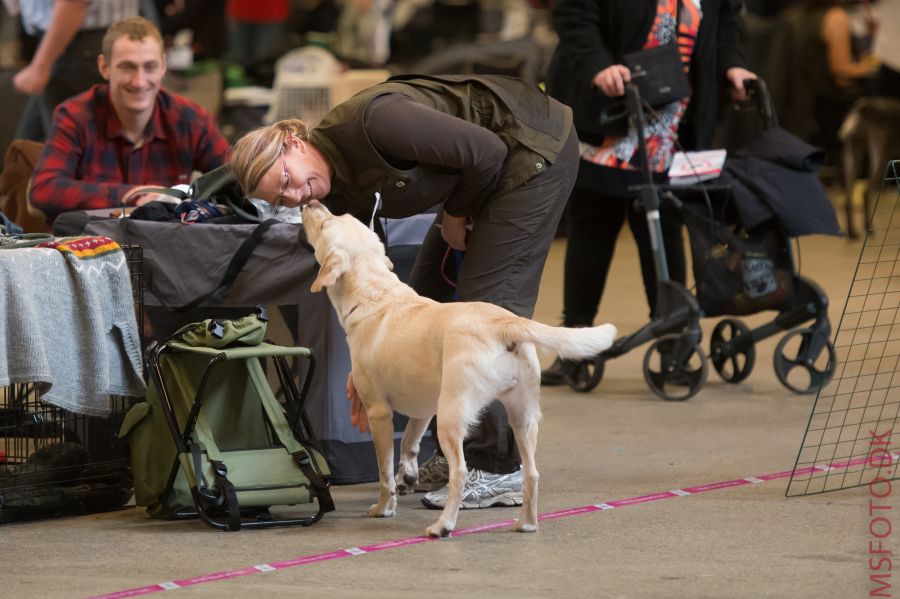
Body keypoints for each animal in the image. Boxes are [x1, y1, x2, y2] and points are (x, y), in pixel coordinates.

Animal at [304, 202, 620, 540]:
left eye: (325, 225)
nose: (311, 203)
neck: (375, 295)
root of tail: (505, 323)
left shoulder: (379, 412)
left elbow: (385, 469)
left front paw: (384, 507)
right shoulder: (423, 409)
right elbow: (409, 443)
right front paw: (409, 477)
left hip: (451, 415)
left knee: (460, 472)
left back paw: (443, 525)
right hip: (522, 416)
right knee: (532, 473)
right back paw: (526, 523)